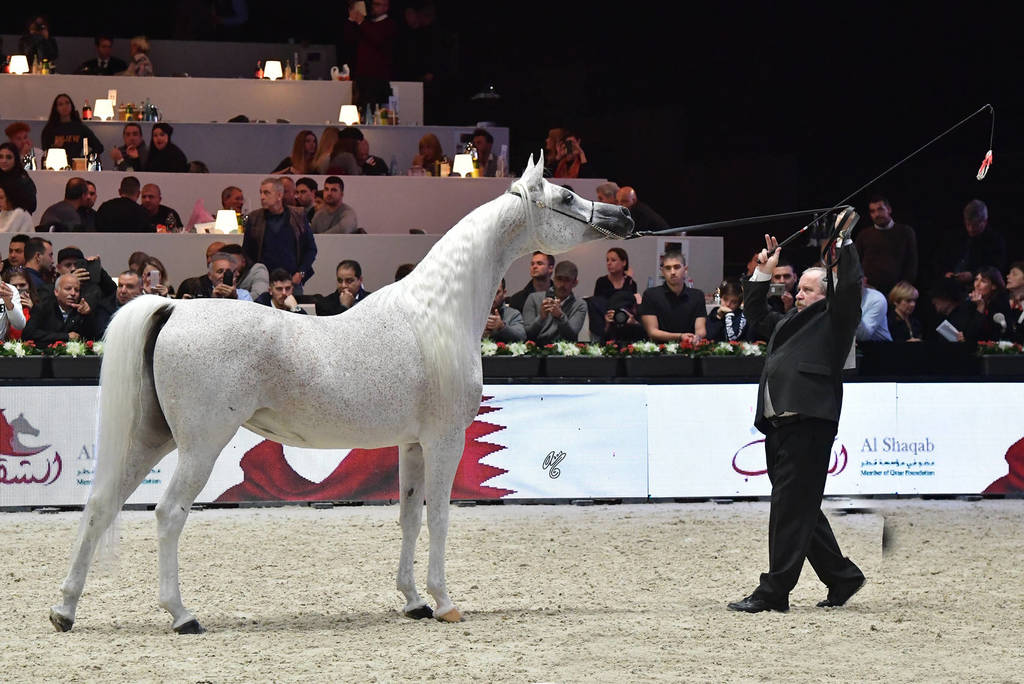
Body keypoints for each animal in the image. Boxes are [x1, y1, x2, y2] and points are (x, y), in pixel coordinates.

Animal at [50, 155, 635, 633]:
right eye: (565, 198)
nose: (624, 218)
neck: (436, 314)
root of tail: (174, 307)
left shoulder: (411, 444)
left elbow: (409, 516)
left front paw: (413, 602)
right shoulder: (444, 440)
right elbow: (440, 516)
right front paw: (444, 603)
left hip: (152, 437)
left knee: (101, 504)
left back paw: (65, 610)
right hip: (200, 445)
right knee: (168, 514)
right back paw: (182, 615)